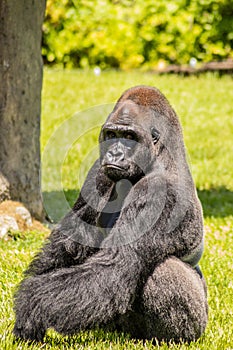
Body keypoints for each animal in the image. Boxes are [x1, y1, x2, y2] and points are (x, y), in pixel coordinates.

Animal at [13, 86, 208, 344]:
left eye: (129, 137)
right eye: (112, 134)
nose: (114, 154)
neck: (161, 155)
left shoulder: (159, 193)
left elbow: (115, 265)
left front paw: (30, 305)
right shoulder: (99, 170)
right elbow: (69, 244)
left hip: (198, 322)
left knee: (163, 270)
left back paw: (169, 338)